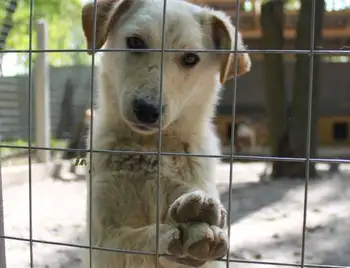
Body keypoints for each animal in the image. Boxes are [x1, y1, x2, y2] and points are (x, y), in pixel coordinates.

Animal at [80, 0, 250, 266]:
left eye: (190, 58)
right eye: (135, 42)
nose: (147, 110)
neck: (151, 149)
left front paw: (199, 213)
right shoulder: (102, 242)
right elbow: (138, 238)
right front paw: (172, 234)